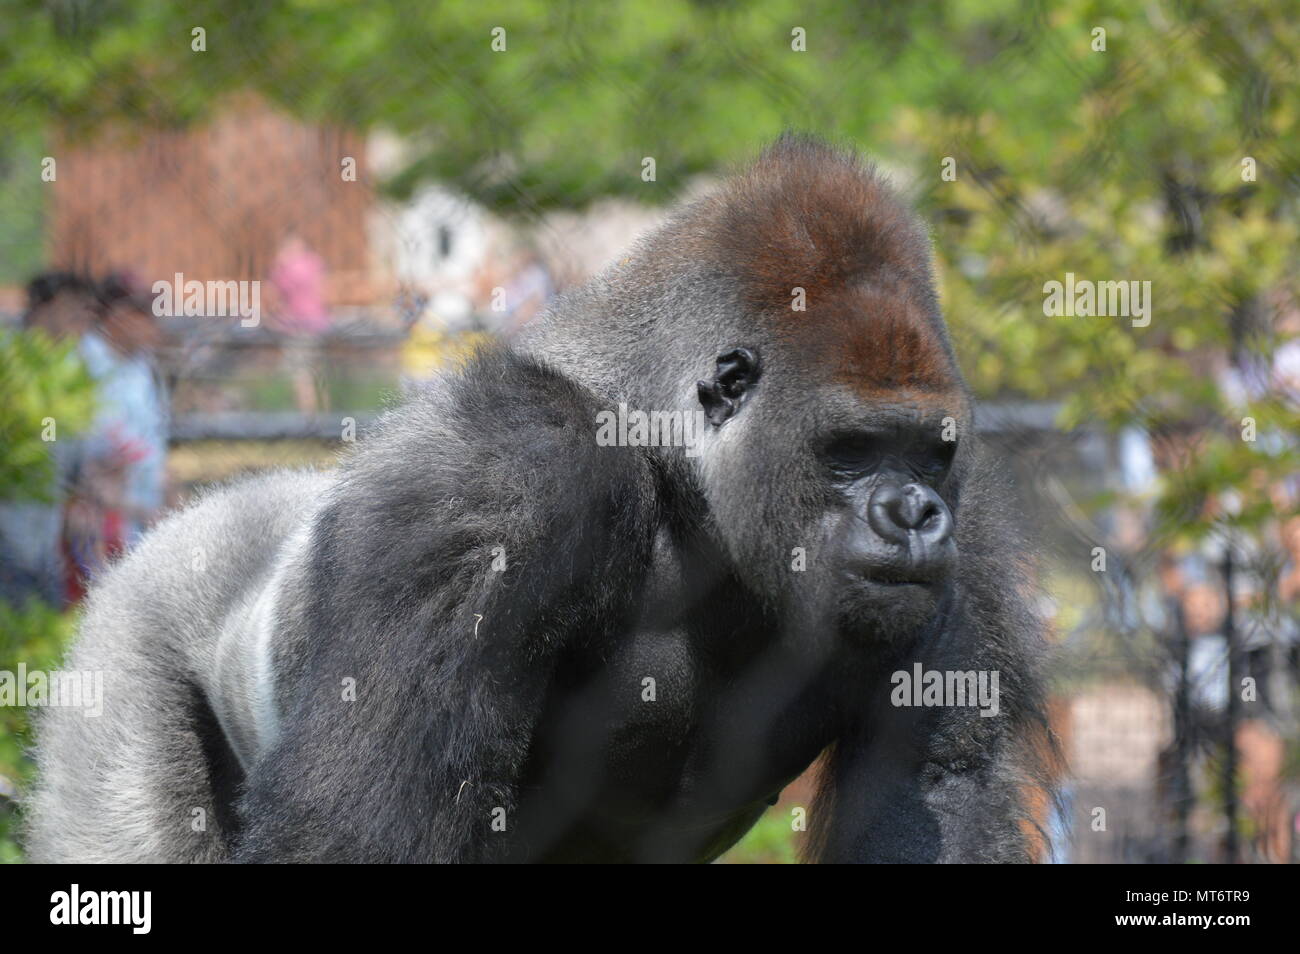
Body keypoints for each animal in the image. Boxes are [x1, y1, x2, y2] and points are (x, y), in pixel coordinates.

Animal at [22, 136, 1055, 868]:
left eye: (929, 453)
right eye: (848, 451)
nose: (913, 513)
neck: (676, 472)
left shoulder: (973, 537)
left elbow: (930, 799)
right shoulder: (505, 477)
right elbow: (354, 828)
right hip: (128, 633)